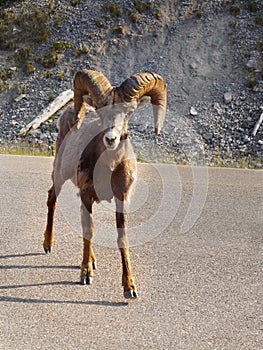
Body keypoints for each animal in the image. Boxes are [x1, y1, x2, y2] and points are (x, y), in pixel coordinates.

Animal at [43, 69, 167, 298]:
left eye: (129, 111)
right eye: (101, 111)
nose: (111, 139)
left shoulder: (122, 198)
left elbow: (121, 238)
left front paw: (130, 288)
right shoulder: (85, 193)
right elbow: (89, 231)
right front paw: (85, 275)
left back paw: (92, 261)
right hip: (59, 175)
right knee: (52, 199)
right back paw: (48, 245)